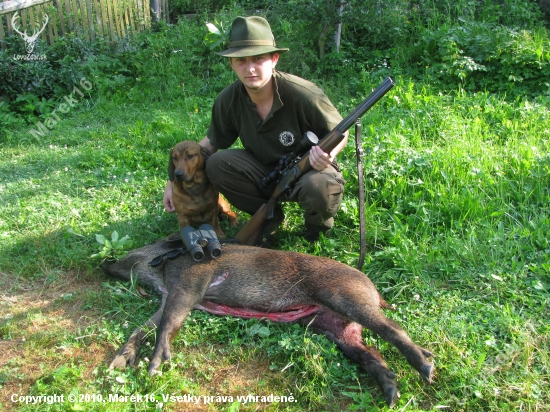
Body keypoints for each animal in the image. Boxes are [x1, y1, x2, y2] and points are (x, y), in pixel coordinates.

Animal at [104, 237, 436, 408]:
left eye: (141, 247)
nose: (104, 263)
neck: (166, 266)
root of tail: (374, 289)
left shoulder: (188, 287)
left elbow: (167, 325)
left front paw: (152, 371)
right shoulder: (168, 298)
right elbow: (144, 327)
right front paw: (117, 365)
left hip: (346, 298)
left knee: (393, 329)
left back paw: (427, 369)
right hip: (335, 328)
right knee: (371, 354)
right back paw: (392, 395)